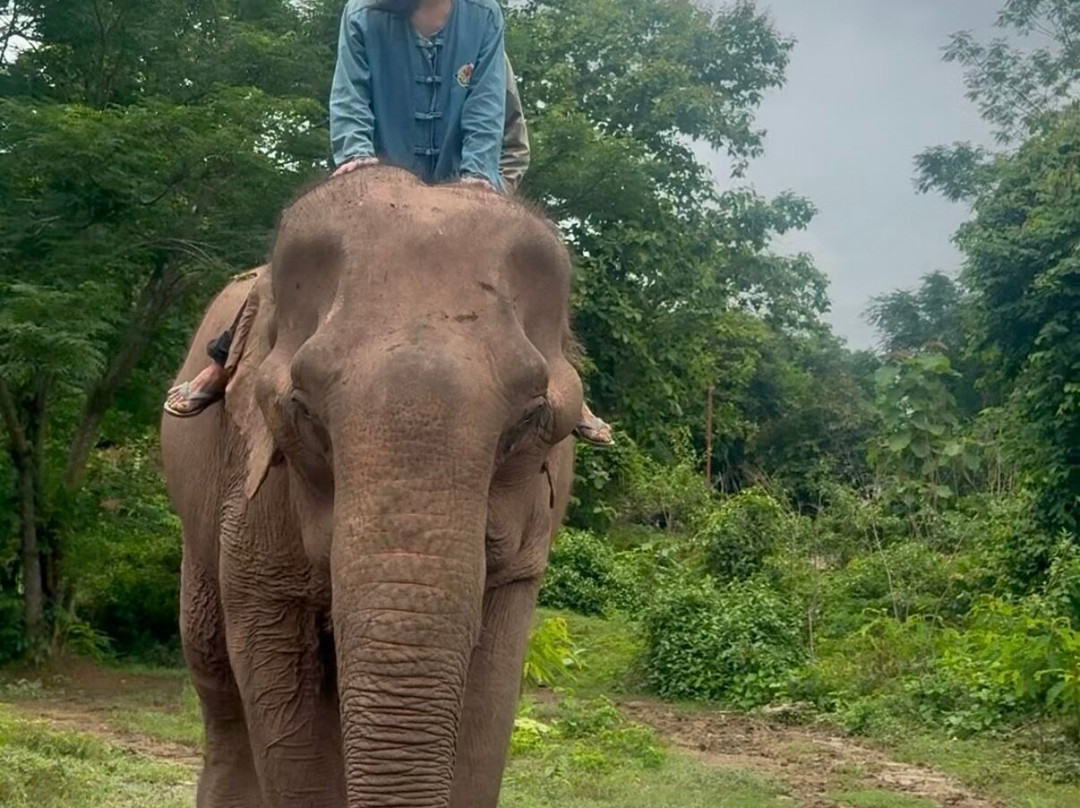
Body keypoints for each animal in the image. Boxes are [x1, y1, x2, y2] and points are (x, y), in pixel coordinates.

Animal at [160, 166, 581, 808]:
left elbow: (488, 705)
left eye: (530, 421)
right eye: (303, 411)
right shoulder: (253, 497)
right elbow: (281, 689)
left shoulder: (526, 544)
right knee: (219, 688)